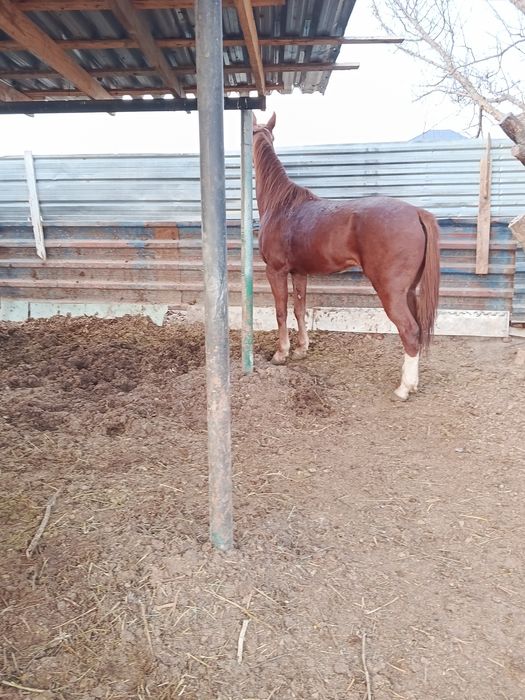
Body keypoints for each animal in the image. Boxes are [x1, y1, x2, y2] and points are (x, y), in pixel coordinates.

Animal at [252, 113, 441, 401]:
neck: (282, 206)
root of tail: (417, 213)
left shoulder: (276, 270)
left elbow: (281, 312)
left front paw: (281, 354)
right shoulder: (299, 273)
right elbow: (299, 309)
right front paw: (301, 349)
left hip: (390, 291)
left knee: (409, 331)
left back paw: (403, 389)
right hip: (408, 292)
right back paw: (413, 383)